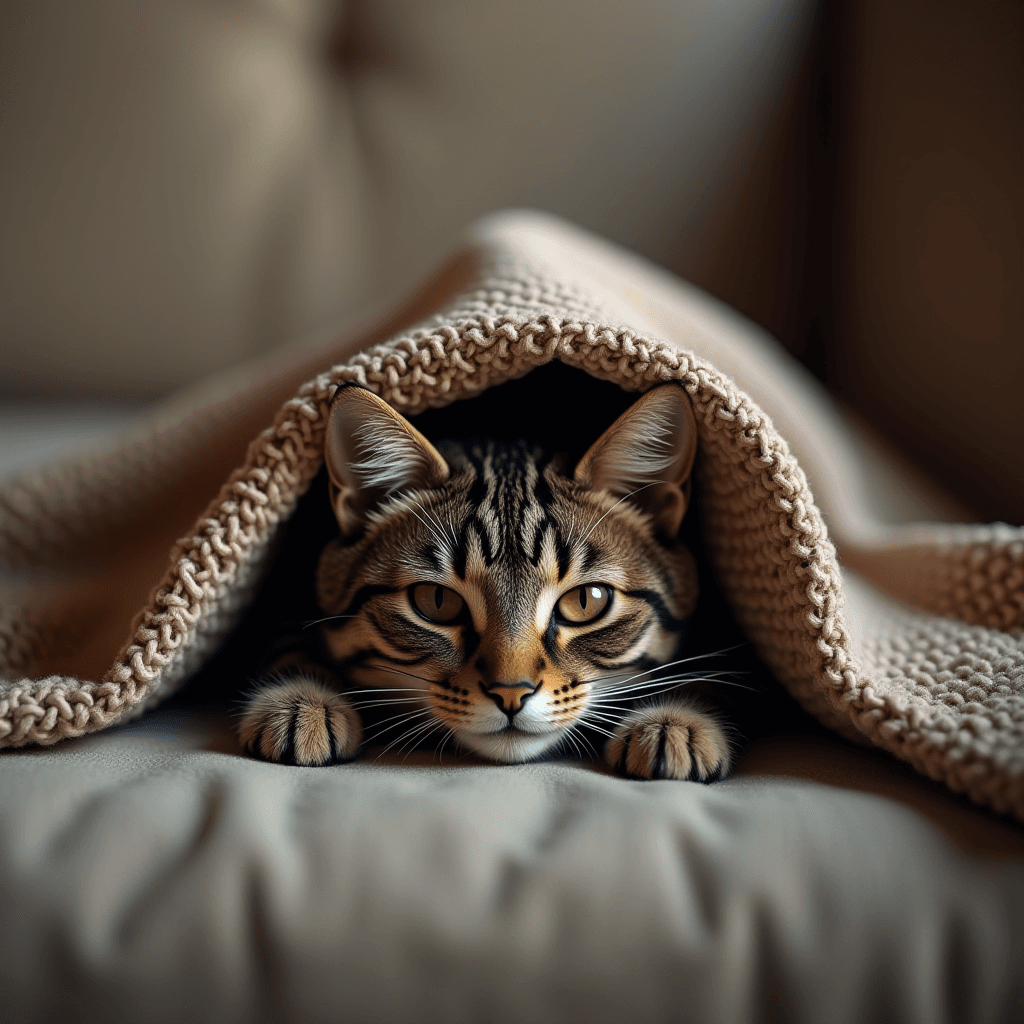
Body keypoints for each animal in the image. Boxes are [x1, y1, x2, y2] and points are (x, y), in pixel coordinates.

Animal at [237, 380, 737, 778]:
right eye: (436, 601)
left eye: (587, 601)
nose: (510, 693)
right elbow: (289, 639)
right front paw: (302, 702)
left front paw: (678, 721)